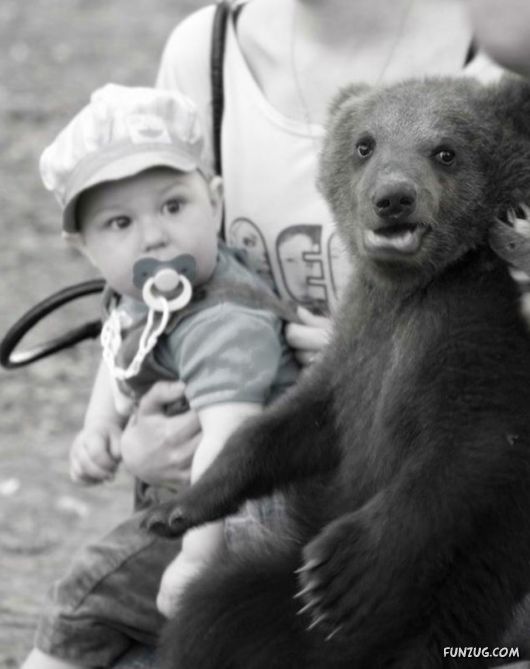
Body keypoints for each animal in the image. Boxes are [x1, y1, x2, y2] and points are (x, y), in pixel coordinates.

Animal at [144, 75, 530, 669]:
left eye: (446, 151)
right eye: (364, 144)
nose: (392, 198)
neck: (409, 290)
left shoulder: (477, 337)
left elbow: (468, 452)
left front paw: (343, 573)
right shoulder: (356, 349)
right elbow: (295, 423)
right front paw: (181, 505)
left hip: (453, 615)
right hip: (272, 597)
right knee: (211, 613)